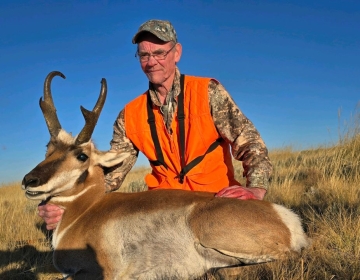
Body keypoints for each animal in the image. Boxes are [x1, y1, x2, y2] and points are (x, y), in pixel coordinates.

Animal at [23, 71, 310, 280]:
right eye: (48, 148)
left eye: (82, 156)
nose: (29, 181)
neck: (84, 211)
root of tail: (283, 215)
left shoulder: (97, 272)